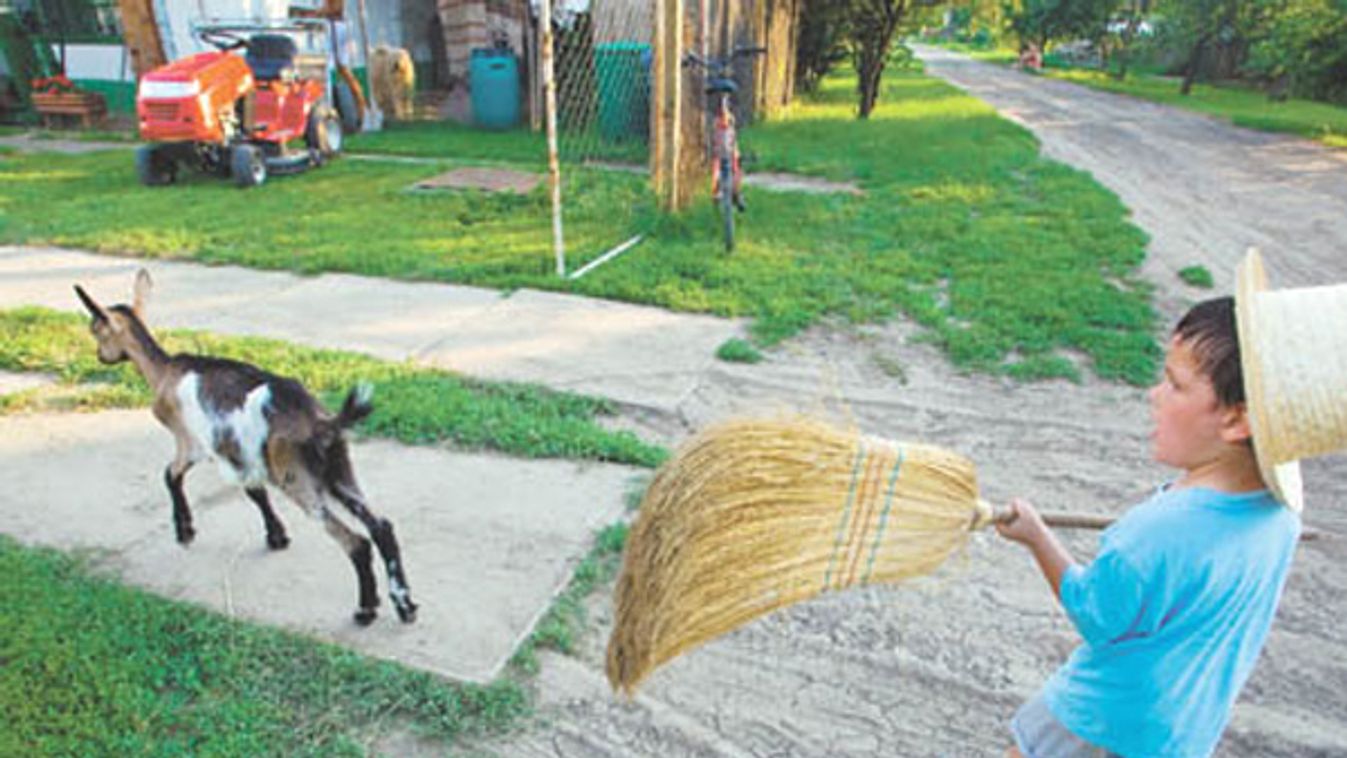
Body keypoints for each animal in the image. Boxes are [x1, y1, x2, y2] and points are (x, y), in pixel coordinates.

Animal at [75, 269, 414, 624]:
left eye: (95, 330)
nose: (100, 356)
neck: (164, 372)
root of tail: (321, 422)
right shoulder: (242, 456)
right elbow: (255, 492)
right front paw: (277, 536)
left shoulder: (193, 442)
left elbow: (172, 474)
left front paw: (185, 531)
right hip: (338, 469)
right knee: (381, 527)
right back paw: (405, 606)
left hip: (295, 476)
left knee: (356, 542)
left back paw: (366, 610)